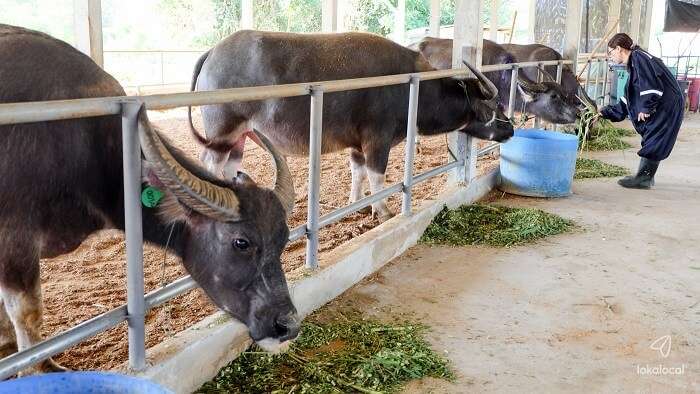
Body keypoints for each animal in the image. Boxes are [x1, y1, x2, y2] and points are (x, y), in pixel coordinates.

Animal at [0, 23, 298, 374]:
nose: (288, 325)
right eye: (242, 242)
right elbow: (28, 315)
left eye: (283, 239)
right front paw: (40, 367)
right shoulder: (14, 244)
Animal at [189, 30, 512, 222]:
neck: (414, 87)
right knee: (210, 165)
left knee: (230, 168)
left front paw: (355, 205)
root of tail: (213, 52)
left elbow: (357, 173)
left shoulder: (357, 145)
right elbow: (377, 176)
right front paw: (383, 210)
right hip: (222, 132)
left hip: (240, 137)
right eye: (492, 107)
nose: (510, 129)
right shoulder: (377, 140)